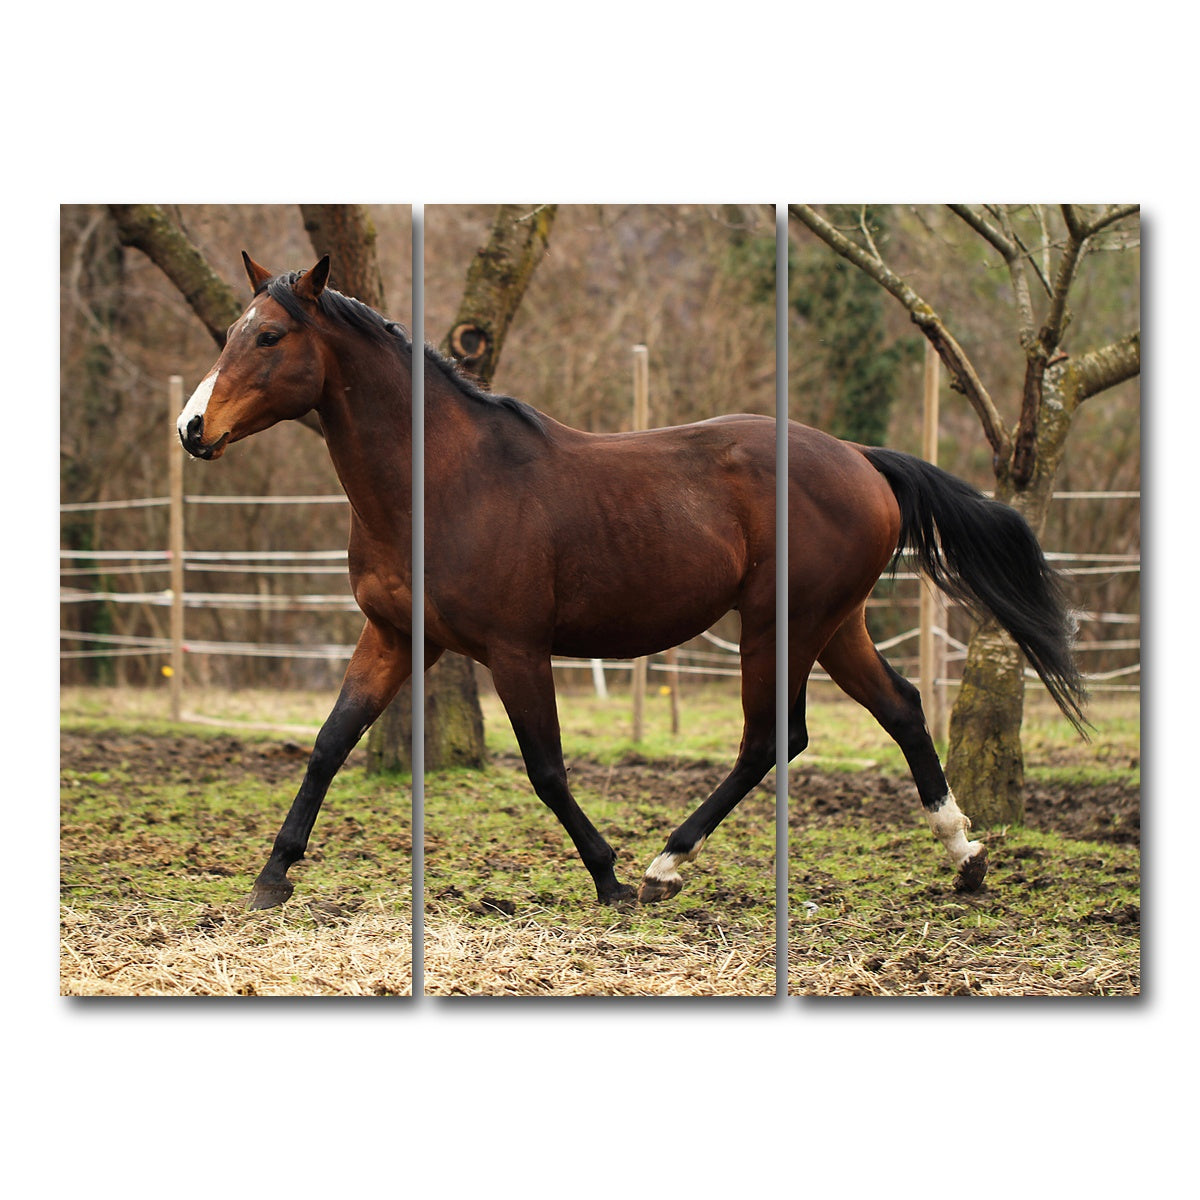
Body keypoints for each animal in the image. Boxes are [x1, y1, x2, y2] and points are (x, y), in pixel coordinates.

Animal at [178, 253, 1086, 910]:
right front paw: (271, 877)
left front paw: (608, 876)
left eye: (267, 338)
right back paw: (965, 855)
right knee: (898, 708)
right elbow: (330, 743)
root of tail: (862, 459)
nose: (191, 429)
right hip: (834, 624)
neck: (444, 480)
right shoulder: (396, 637)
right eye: (231, 332)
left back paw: (663, 866)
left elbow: (546, 768)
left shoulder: (516, 648)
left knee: (771, 740)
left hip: (779, 624)